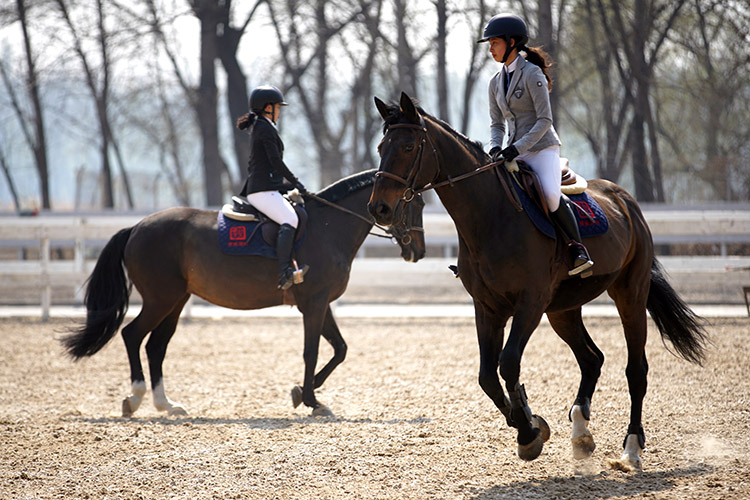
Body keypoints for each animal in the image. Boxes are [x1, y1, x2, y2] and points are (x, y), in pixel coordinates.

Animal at [61, 171, 426, 418]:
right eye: (415, 203)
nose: (418, 251)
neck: (328, 226)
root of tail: (136, 227)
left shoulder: (320, 303)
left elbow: (339, 349)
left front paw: (302, 393)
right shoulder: (314, 303)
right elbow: (312, 352)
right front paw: (311, 400)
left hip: (176, 301)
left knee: (156, 346)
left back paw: (166, 404)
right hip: (160, 300)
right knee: (133, 336)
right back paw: (135, 398)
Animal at [368, 93, 708, 468]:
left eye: (409, 146)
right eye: (382, 146)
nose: (379, 209)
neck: (490, 217)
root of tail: (624, 199)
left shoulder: (529, 303)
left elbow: (508, 363)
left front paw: (528, 432)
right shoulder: (487, 307)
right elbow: (488, 376)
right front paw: (529, 424)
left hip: (629, 295)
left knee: (636, 370)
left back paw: (631, 447)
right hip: (562, 311)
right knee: (592, 359)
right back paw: (580, 431)